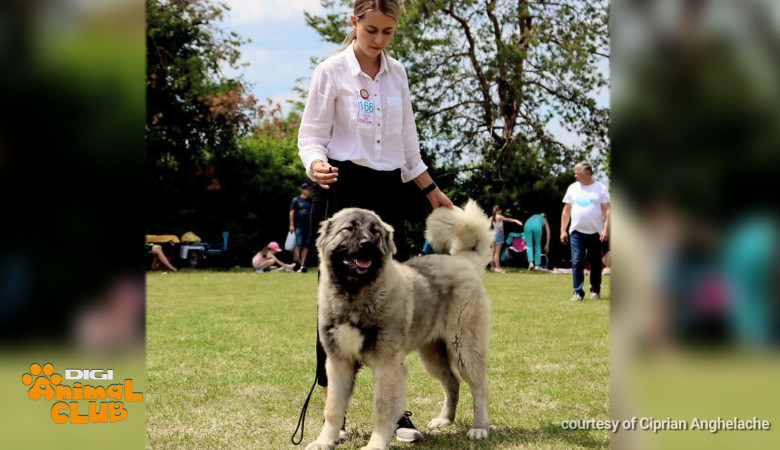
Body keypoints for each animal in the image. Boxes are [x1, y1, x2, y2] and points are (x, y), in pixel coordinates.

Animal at [308, 201, 490, 450]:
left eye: (375, 231)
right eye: (349, 229)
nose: (367, 244)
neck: (355, 294)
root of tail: (462, 259)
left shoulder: (387, 365)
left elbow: (382, 409)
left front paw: (376, 444)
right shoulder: (339, 363)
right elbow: (333, 408)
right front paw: (325, 441)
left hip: (464, 348)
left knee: (479, 387)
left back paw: (479, 428)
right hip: (433, 355)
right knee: (453, 382)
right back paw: (444, 419)